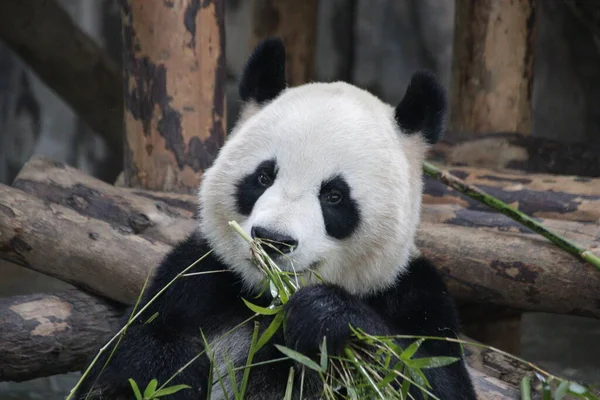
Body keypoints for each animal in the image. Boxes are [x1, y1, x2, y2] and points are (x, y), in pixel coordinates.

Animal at [75, 38, 478, 400]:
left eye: (334, 196)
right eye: (263, 177)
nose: (272, 239)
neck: (268, 302)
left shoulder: (415, 298)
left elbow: (423, 376)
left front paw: (326, 316)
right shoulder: (193, 279)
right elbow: (119, 364)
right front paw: (177, 367)